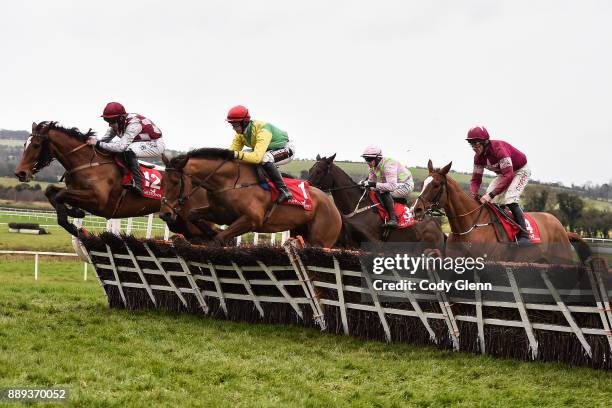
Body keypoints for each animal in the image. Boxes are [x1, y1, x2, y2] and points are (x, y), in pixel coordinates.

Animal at [13, 119, 218, 239]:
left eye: (36, 145)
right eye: (24, 144)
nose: (20, 173)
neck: (87, 163)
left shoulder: (99, 201)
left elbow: (60, 194)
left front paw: (72, 218)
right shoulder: (76, 190)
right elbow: (51, 192)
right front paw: (74, 212)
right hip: (181, 223)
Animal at [160, 148, 342, 247]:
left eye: (175, 182)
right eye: (161, 182)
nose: (164, 214)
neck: (231, 182)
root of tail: (332, 205)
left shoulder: (252, 220)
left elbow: (220, 238)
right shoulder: (220, 214)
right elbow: (193, 215)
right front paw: (210, 232)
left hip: (321, 240)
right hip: (299, 230)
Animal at [306, 153, 444, 249]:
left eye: (319, 171)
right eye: (310, 170)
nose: (307, 188)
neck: (356, 208)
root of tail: (437, 225)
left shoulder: (374, 242)